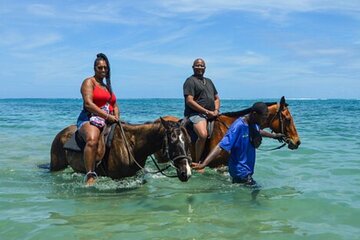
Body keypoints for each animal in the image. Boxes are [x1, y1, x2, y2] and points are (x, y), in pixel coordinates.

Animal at [50, 118, 194, 182]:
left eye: (188, 142)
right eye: (173, 141)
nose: (186, 173)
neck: (131, 145)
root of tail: (61, 134)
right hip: (56, 166)